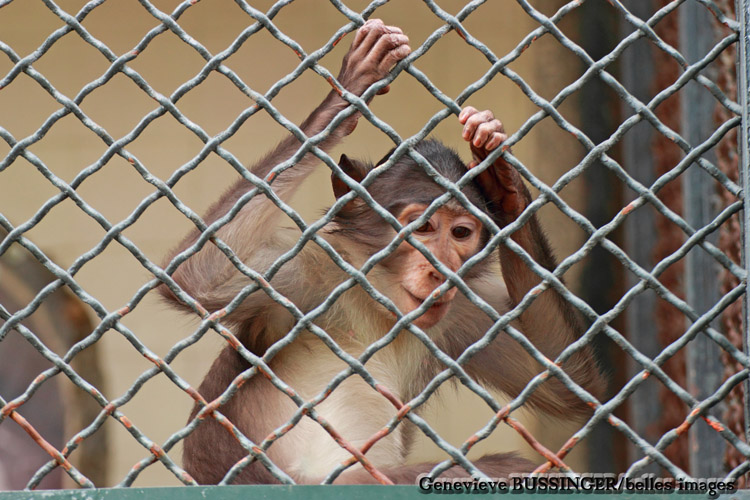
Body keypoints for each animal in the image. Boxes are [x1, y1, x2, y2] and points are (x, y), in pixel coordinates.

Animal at [160, 19, 604, 484]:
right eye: (422, 227)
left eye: (460, 233)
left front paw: (504, 179)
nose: (441, 267)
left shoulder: (461, 312)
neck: (378, 302)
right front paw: (348, 93)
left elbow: (564, 383)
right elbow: (198, 277)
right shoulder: (309, 277)